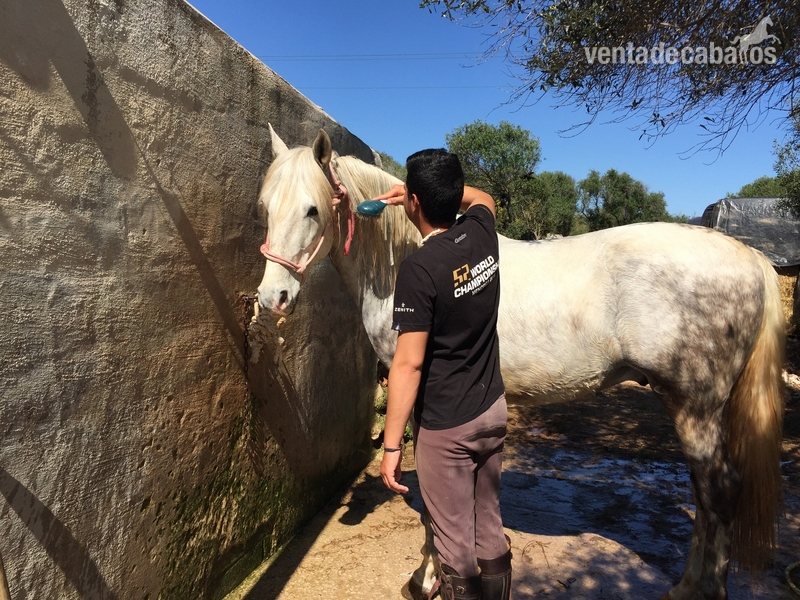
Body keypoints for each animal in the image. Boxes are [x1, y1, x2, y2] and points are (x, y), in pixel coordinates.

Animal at [254, 125, 785, 600]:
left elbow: (430, 499)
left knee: (718, 491)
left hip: (694, 407)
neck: (399, 260)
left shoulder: (421, 397)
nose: (272, 297)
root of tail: (748, 255)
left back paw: (698, 588)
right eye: (266, 207)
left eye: (313, 209)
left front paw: (426, 578)